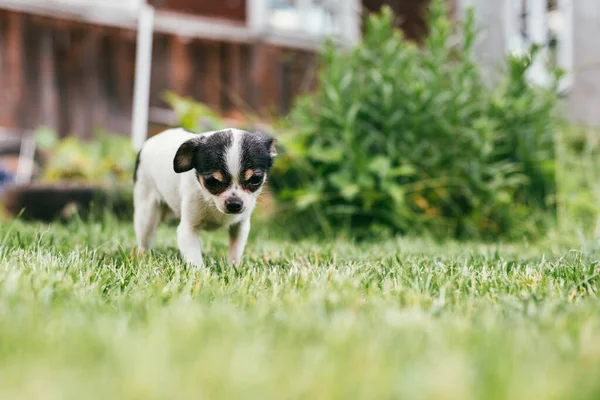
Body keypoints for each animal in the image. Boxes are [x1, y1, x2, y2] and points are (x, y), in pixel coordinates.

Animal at [132, 127, 276, 266]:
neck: (212, 201)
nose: (234, 204)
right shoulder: (188, 230)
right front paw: (200, 273)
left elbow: (235, 253)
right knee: (144, 239)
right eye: (211, 181)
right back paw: (142, 257)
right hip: (147, 213)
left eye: (255, 179)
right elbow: (195, 260)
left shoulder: (240, 226)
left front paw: (234, 268)